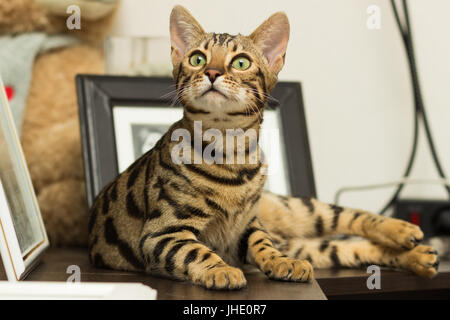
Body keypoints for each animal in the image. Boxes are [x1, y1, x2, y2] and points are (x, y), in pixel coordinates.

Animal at [89, 5, 440, 290]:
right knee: (347, 248)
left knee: (352, 217)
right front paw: (220, 269)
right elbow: (196, 250)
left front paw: (279, 262)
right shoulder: (164, 231)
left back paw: (406, 232)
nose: (212, 72)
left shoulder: (250, 224)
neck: (230, 151)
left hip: (300, 209)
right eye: (197, 59)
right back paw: (419, 256)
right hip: (306, 241)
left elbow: (263, 243)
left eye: (241, 62)